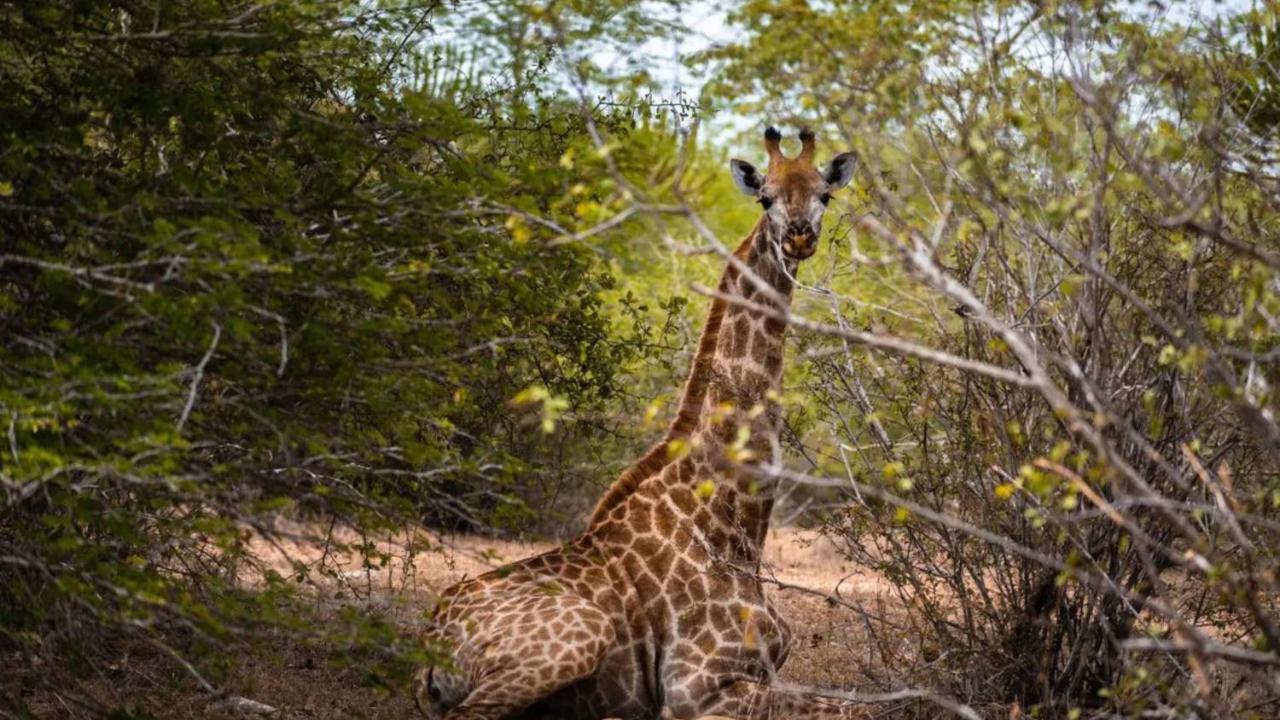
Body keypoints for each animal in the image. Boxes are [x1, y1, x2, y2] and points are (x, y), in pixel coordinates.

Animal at [414, 127, 865, 717]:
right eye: (764, 198)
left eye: (824, 196)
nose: (798, 238)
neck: (735, 531)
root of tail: (431, 639)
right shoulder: (697, 689)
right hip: (578, 640)